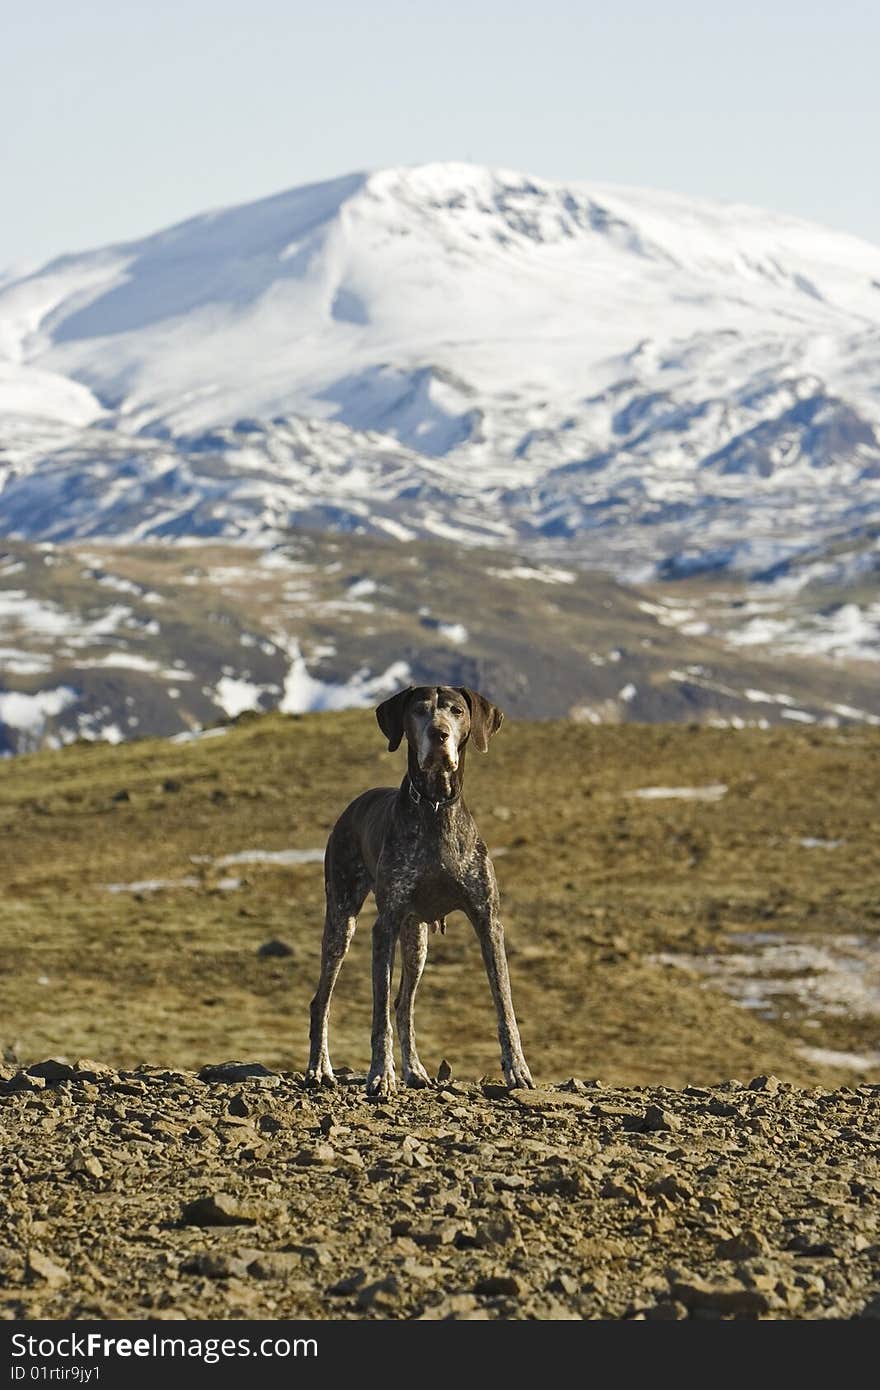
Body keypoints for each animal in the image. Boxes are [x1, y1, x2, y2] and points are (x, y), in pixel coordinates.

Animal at [305, 683, 531, 1095]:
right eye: (419, 711)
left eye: (457, 711)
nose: (439, 735)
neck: (436, 806)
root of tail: (353, 805)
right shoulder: (386, 925)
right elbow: (379, 1015)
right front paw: (381, 1074)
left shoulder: (487, 922)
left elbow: (504, 1003)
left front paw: (517, 1069)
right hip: (342, 920)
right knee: (322, 1001)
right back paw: (318, 1069)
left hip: (417, 941)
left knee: (404, 1005)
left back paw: (415, 1069)